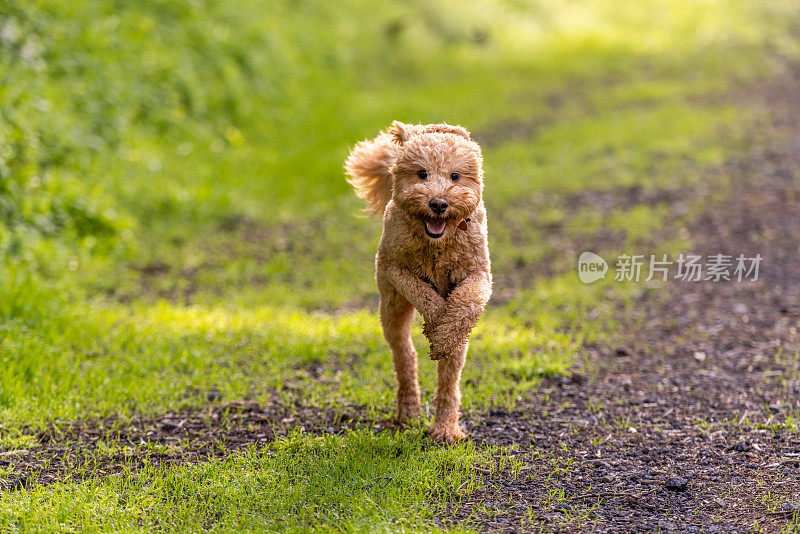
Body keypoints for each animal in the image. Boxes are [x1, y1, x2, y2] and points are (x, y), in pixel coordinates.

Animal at [346, 122, 490, 444]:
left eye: (455, 176)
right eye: (422, 173)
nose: (438, 203)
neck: (437, 243)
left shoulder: (479, 273)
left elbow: (467, 303)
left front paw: (443, 334)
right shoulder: (394, 267)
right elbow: (423, 292)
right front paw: (436, 321)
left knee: (450, 374)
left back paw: (445, 428)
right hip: (391, 307)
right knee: (405, 355)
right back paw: (409, 410)